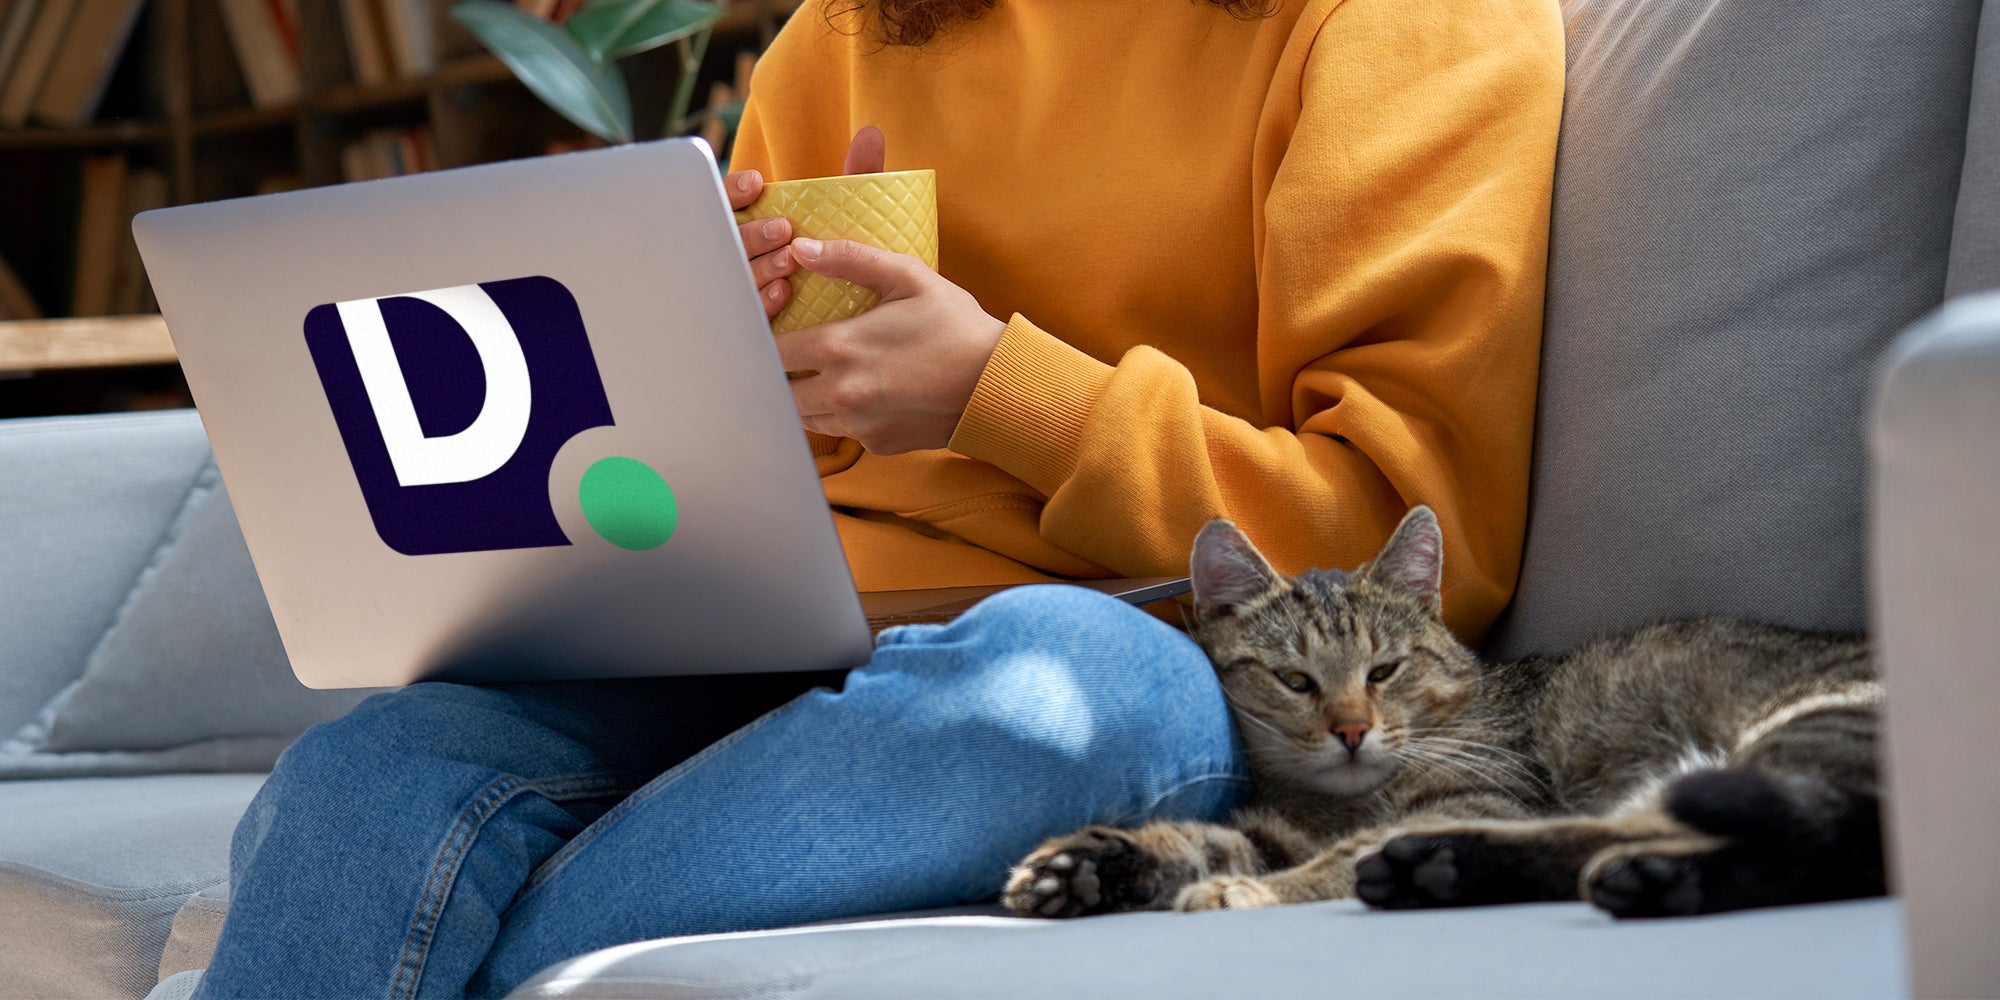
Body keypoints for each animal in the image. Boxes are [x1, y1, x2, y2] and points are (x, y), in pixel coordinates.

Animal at [1008, 508, 1880, 920]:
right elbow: (1207, 839)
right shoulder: (1275, 828)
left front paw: (1247, 893)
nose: (1352, 730)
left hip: (1798, 737)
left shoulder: (1487, 795)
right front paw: (1090, 865)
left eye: (1383, 671)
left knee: (1828, 844)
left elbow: (1333, 858)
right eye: (1295, 681)